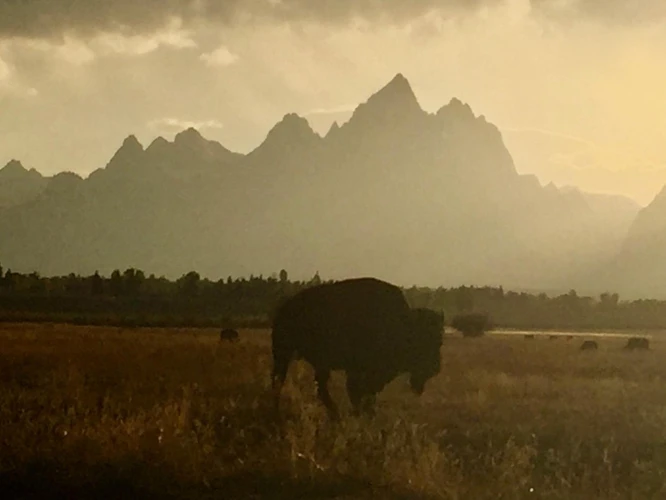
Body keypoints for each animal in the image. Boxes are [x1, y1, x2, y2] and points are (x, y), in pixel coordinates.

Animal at [272, 278, 444, 418]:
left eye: (440, 341)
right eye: (424, 341)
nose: (435, 368)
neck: (402, 324)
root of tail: (285, 307)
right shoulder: (357, 372)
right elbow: (357, 394)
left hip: (318, 364)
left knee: (319, 386)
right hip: (283, 354)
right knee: (279, 381)